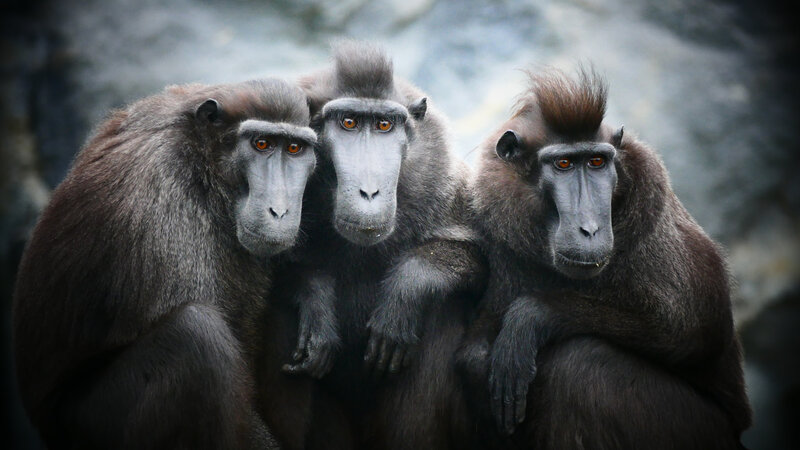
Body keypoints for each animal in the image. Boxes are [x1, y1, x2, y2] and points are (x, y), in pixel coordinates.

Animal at [12, 78, 318, 449]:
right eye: (262, 144)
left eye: (294, 149)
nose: (280, 210)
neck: (203, 164)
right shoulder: (162, 204)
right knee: (196, 338)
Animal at [252, 41, 487, 450]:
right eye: (348, 123)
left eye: (383, 125)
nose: (369, 191)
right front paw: (316, 302)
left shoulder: (442, 177)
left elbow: (477, 261)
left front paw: (409, 287)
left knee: (441, 309)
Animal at [455, 68, 752, 449]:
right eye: (564, 164)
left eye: (597, 162)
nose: (591, 229)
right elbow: (475, 355)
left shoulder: (650, 203)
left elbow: (696, 331)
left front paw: (531, 318)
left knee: (581, 362)